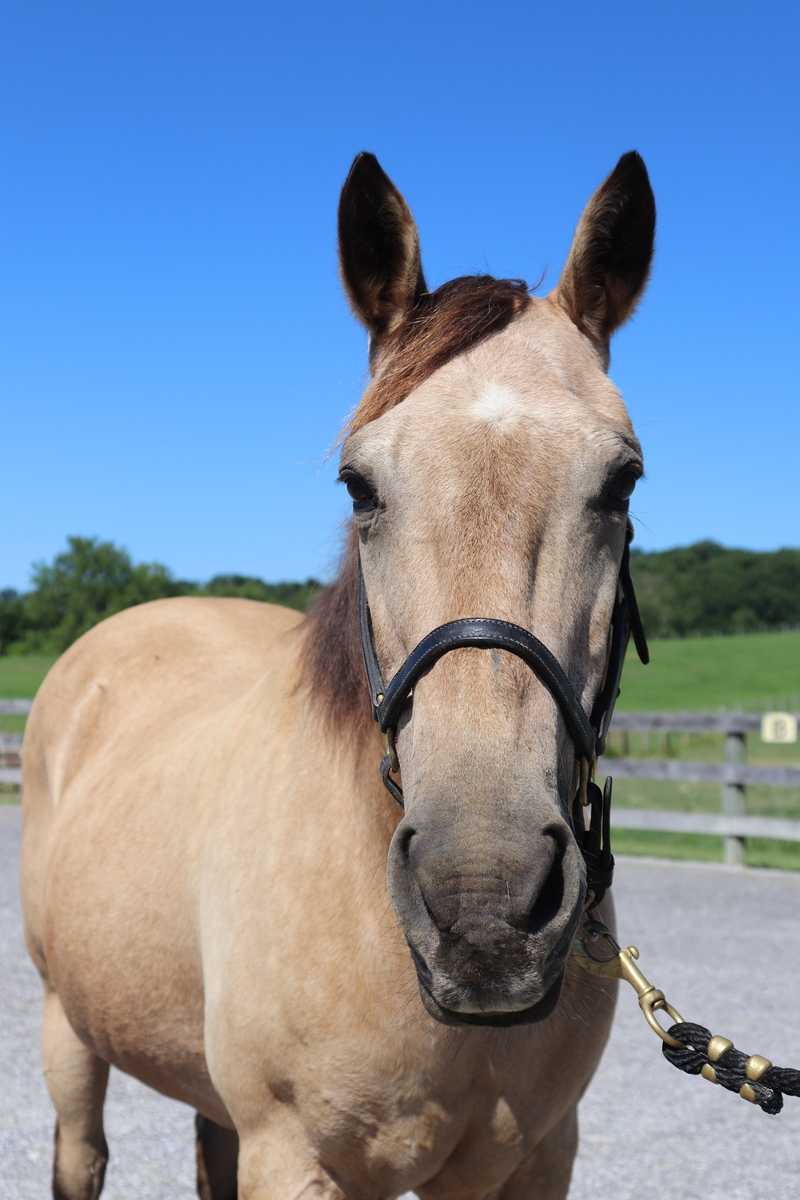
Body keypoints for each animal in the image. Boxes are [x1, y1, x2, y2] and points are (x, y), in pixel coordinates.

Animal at [20, 149, 655, 1200]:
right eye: (359, 485)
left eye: (621, 481)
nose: (484, 907)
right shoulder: (293, 1155)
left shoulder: (535, 1157)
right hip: (67, 1031)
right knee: (81, 1150)